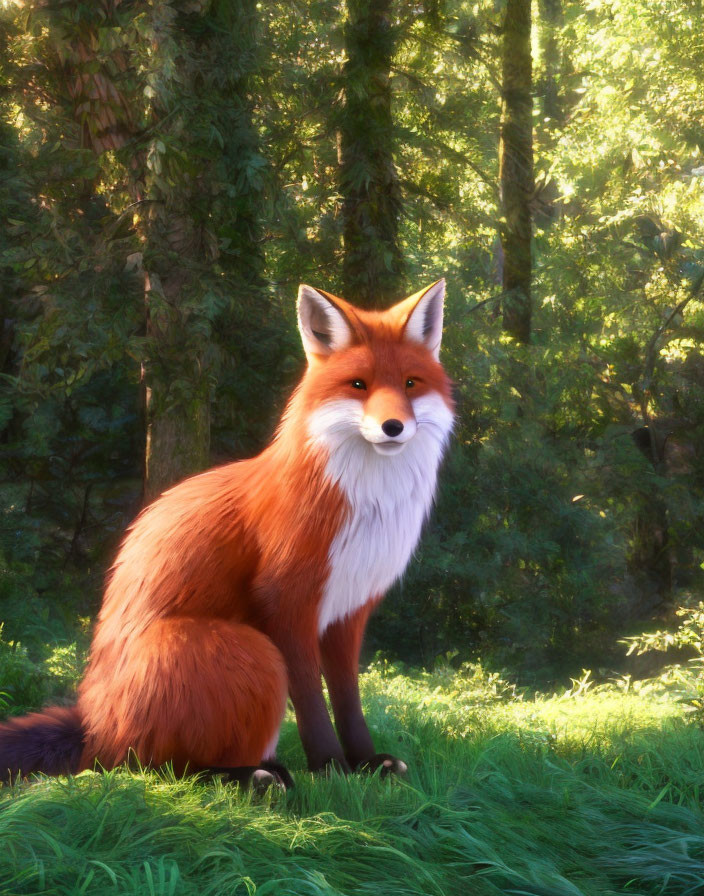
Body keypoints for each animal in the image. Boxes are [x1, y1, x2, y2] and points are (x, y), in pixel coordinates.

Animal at [0, 278, 454, 784]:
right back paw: (250, 777)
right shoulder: (285, 601)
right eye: (359, 385)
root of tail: (94, 727)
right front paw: (330, 769)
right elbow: (311, 702)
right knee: (154, 767)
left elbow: (348, 698)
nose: (393, 427)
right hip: (252, 651)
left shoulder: (347, 611)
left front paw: (367, 764)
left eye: (411, 384)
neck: (366, 505)